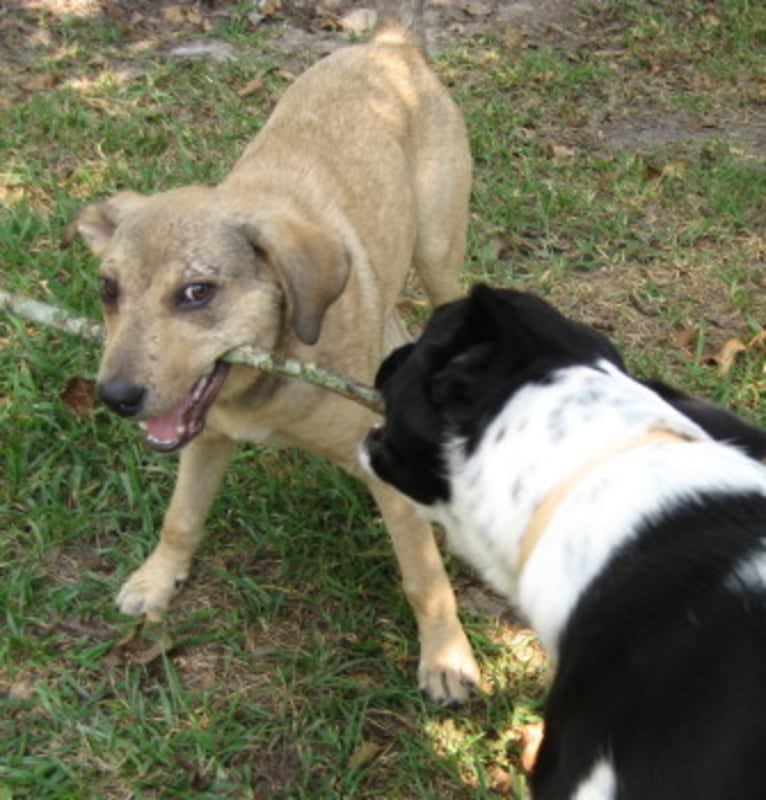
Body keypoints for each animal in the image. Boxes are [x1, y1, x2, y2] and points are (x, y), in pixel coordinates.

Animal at [72, 0, 480, 700]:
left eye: (196, 292)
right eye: (108, 289)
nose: (114, 398)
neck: (270, 379)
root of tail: (389, 46)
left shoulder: (386, 478)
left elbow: (423, 580)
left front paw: (447, 659)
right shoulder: (206, 434)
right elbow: (180, 517)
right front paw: (157, 579)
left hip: (436, 250)